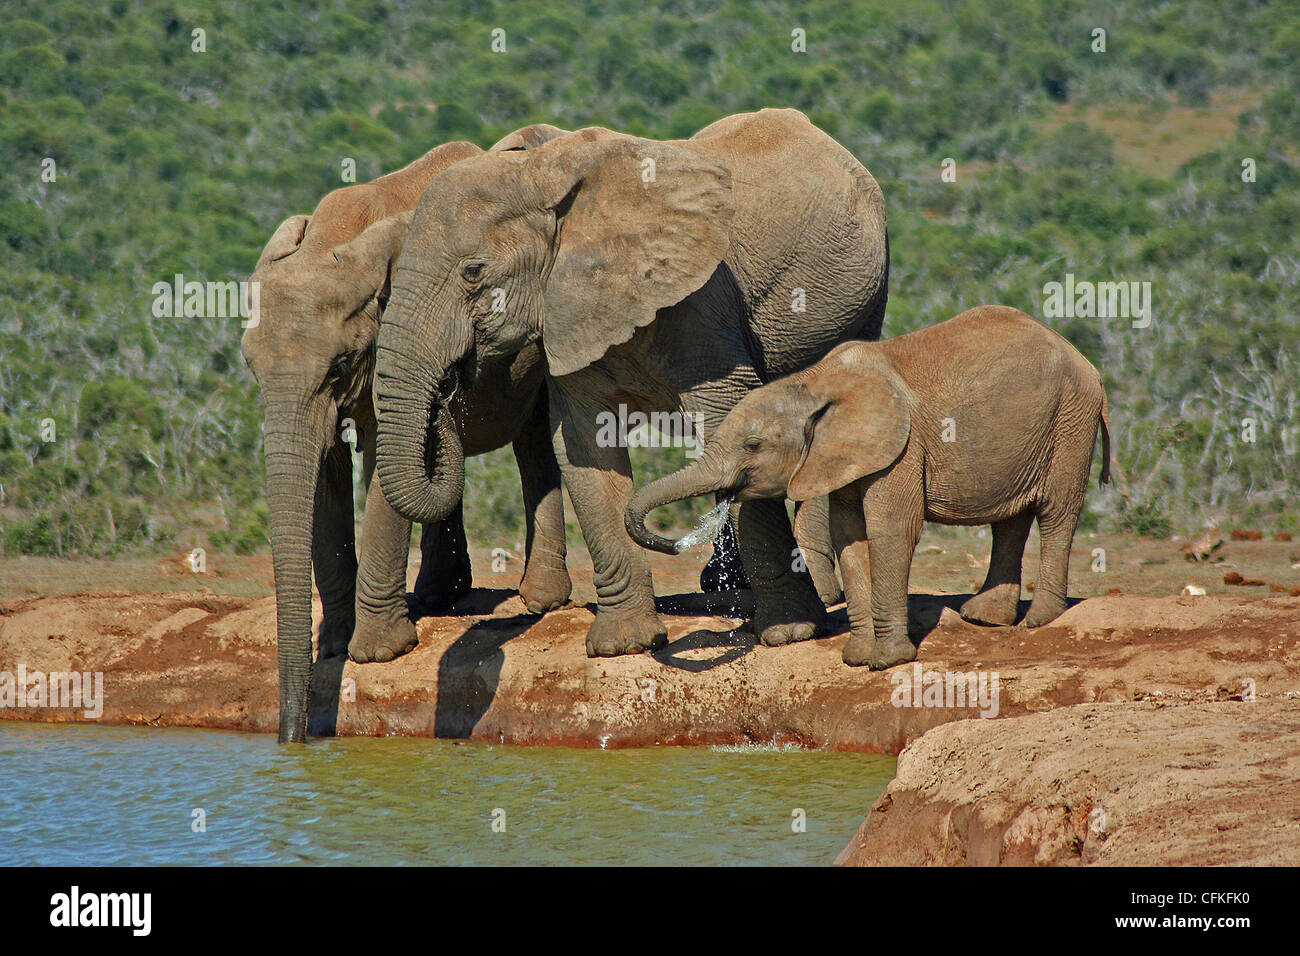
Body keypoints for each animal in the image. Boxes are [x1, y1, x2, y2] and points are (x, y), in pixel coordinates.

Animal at [240, 128, 574, 738]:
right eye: (250, 366)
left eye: (340, 365)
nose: (293, 736)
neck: (338, 238)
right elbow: (326, 470)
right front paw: (333, 648)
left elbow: (381, 463)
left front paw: (376, 653)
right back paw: (442, 596)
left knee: (534, 436)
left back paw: (538, 602)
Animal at [371, 106, 889, 658]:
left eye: (473, 271)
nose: (450, 384)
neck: (540, 171)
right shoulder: (568, 315)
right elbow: (583, 447)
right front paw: (624, 645)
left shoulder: (700, 301)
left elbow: (731, 419)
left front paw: (790, 633)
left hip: (868, 299)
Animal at [624, 310, 1112, 671]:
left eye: (753, 445)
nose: (677, 544)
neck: (814, 383)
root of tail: (1086, 362)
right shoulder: (841, 456)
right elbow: (849, 536)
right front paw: (857, 659)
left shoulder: (902, 446)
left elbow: (890, 531)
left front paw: (888, 661)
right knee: (1010, 520)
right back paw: (984, 617)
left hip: (1072, 418)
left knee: (1057, 511)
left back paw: (1038, 620)